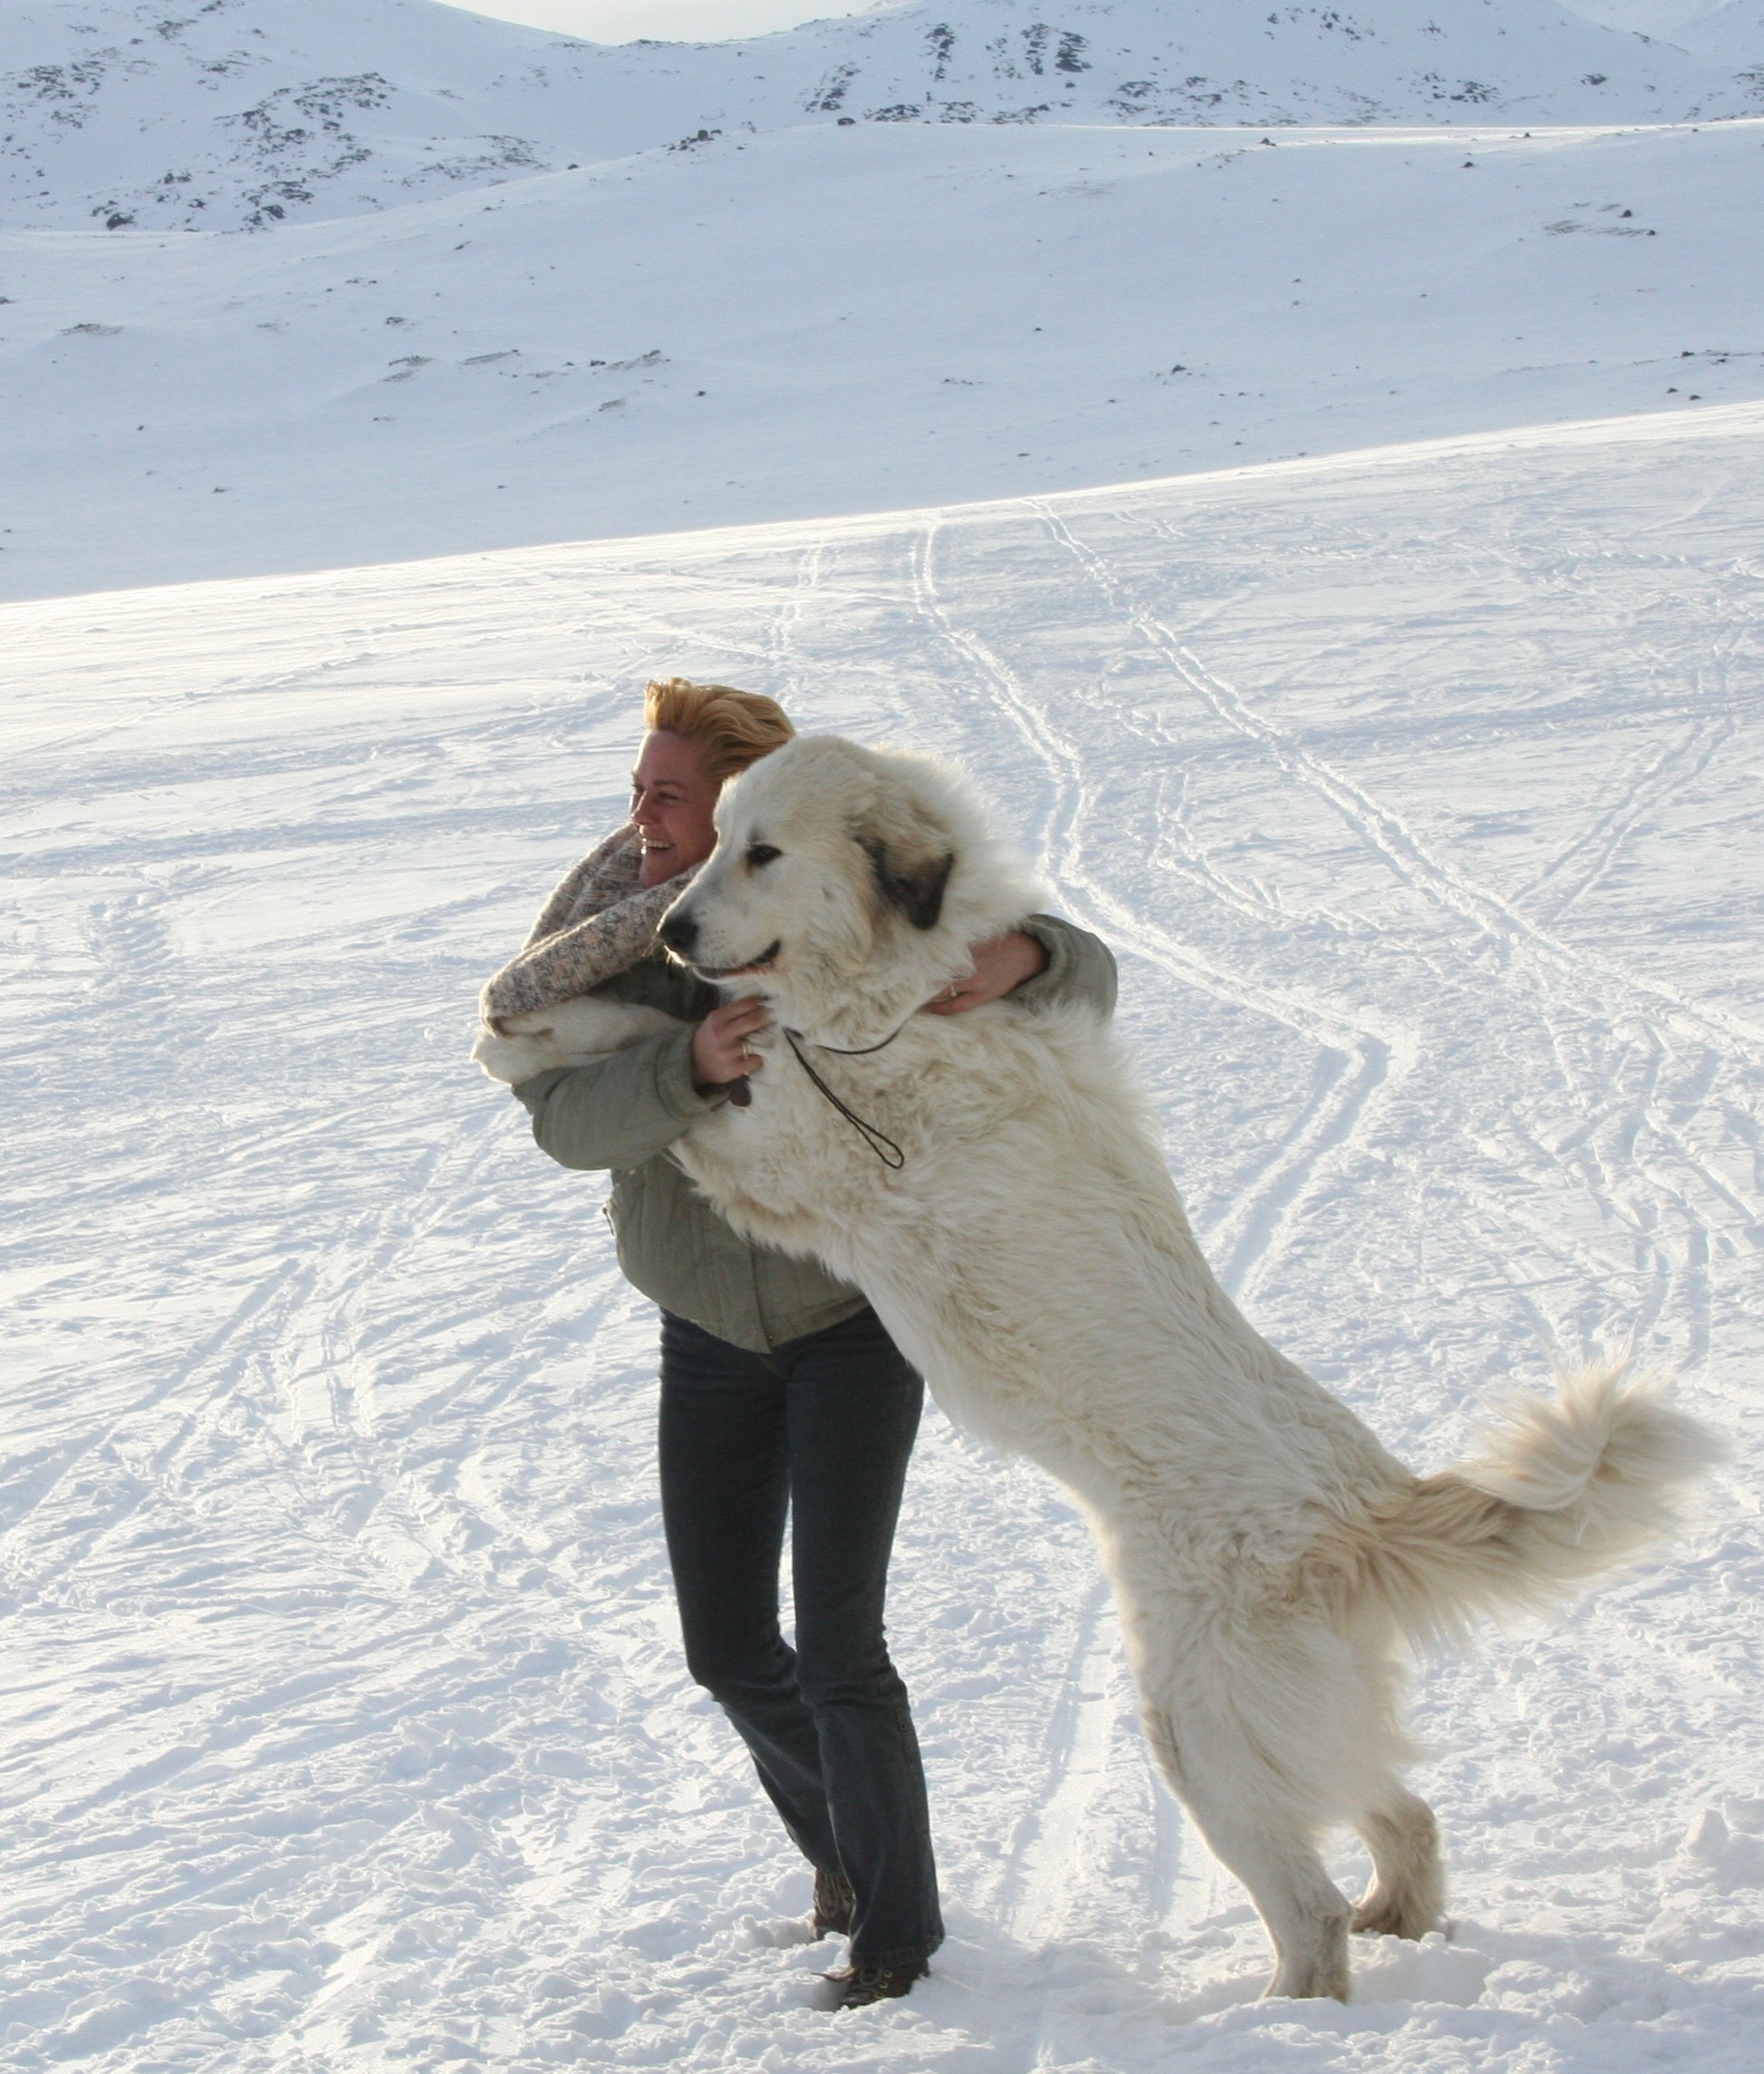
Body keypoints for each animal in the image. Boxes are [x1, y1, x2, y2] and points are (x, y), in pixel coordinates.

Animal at [492, 738, 1718, 1999]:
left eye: (765, 851)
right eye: (718, 839)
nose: (673, 928)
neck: (901, 986)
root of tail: (1362, 1503)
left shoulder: (783, 1149)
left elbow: (661, 1060)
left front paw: (527, 1030)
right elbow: (661, 1041)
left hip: (1195, 1721)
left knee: (1310, 1909)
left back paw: (1281, 2008)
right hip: (1288, 1713)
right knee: (1402, 1811)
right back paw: (1399, 1917)